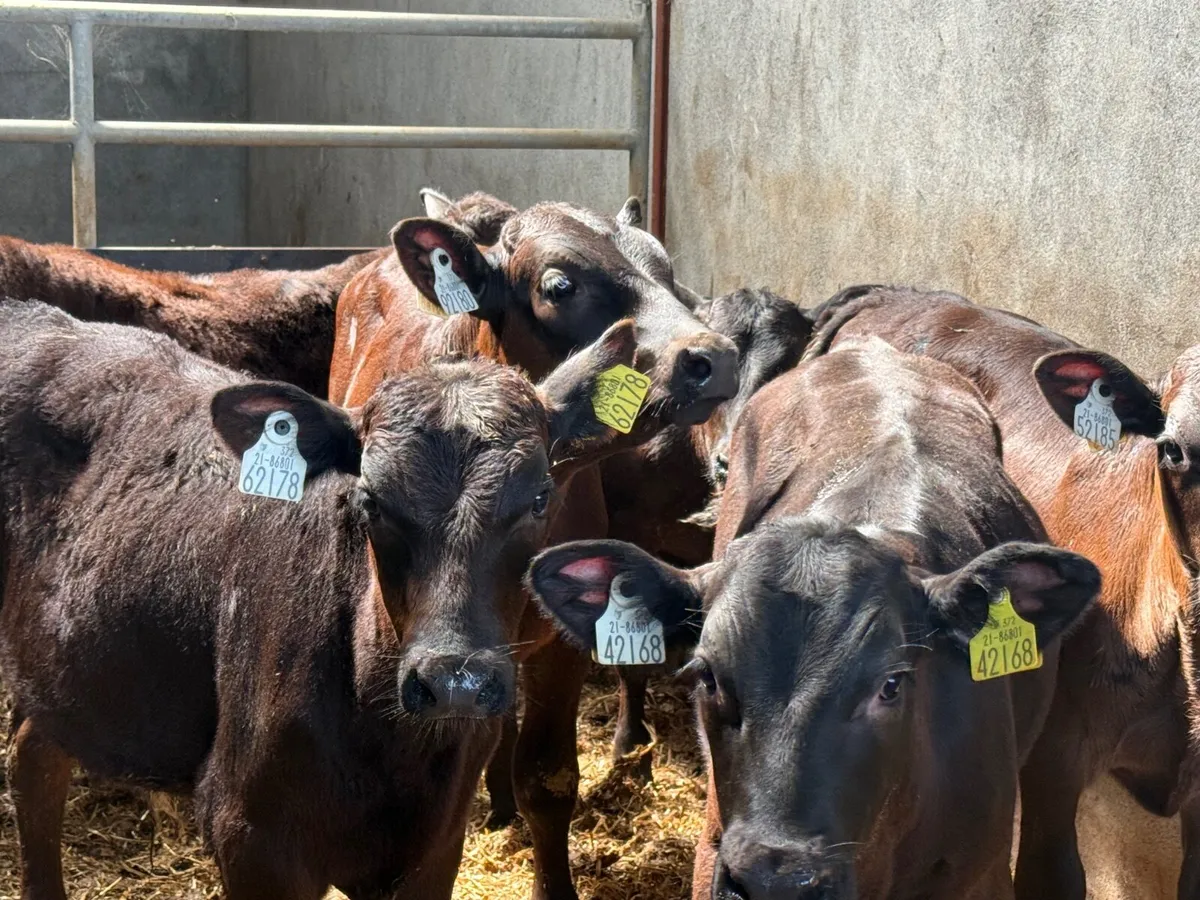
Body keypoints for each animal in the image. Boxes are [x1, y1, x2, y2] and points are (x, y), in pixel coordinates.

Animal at [0, 300, 646, 900]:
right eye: (371, 499)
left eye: (541, 497)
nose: (454, 679)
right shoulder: (251, 838)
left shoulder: (435, 851)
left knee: (34, 753)